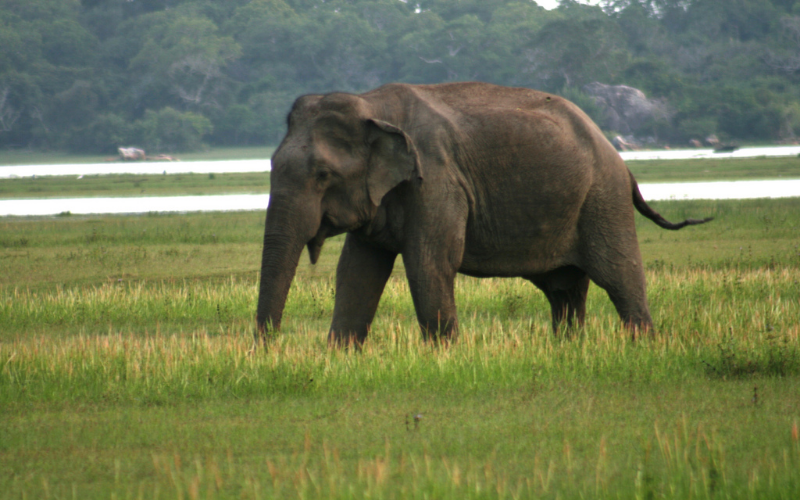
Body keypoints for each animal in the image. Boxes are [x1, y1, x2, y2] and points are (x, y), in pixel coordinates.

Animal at [256, 82, 712, 346]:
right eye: (272, 165)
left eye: (323, 175)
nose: (269, 347)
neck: (372, 106)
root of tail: (621, 159)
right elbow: (356, 270)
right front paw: (340, 355)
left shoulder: (437, 181)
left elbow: (429, 263)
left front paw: (442, 357)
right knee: (565, 289)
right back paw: (568, 350)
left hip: (603, 199)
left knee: (618, 275)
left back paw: (642, 346)